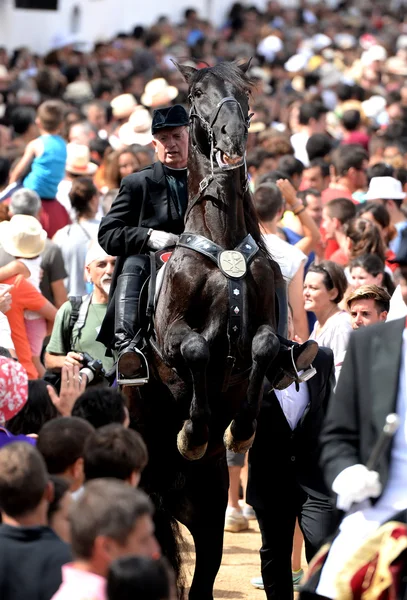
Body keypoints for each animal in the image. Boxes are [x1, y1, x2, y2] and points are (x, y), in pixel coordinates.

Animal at [126, 62, 286, 600]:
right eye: (197, 93)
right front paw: (193, 432)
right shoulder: (173, 338)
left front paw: (240, 429)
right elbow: (196, 349)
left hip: (207, 510)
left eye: (245, 91)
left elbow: (264, 346)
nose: (232, 136)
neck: (220, 238)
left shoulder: (262, 328)